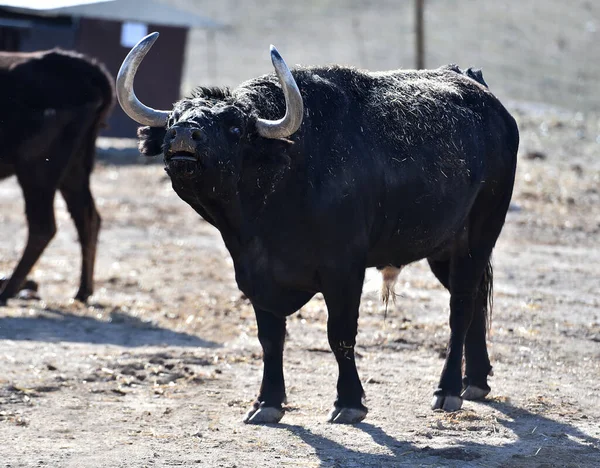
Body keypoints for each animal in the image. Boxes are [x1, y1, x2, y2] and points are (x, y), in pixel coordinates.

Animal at [118, 33, 520, 424]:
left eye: (233, 126)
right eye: (174, 118)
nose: (184, 134)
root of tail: (484, 96)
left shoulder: (344, 271)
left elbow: (340, 335)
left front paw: (349, 402)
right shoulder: (255, 274)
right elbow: (270, 338)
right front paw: (267, 403)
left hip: (479, 234)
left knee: (461, 307)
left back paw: (448, 390)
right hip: (444, 249)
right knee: (476, 299)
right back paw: (475, 381)